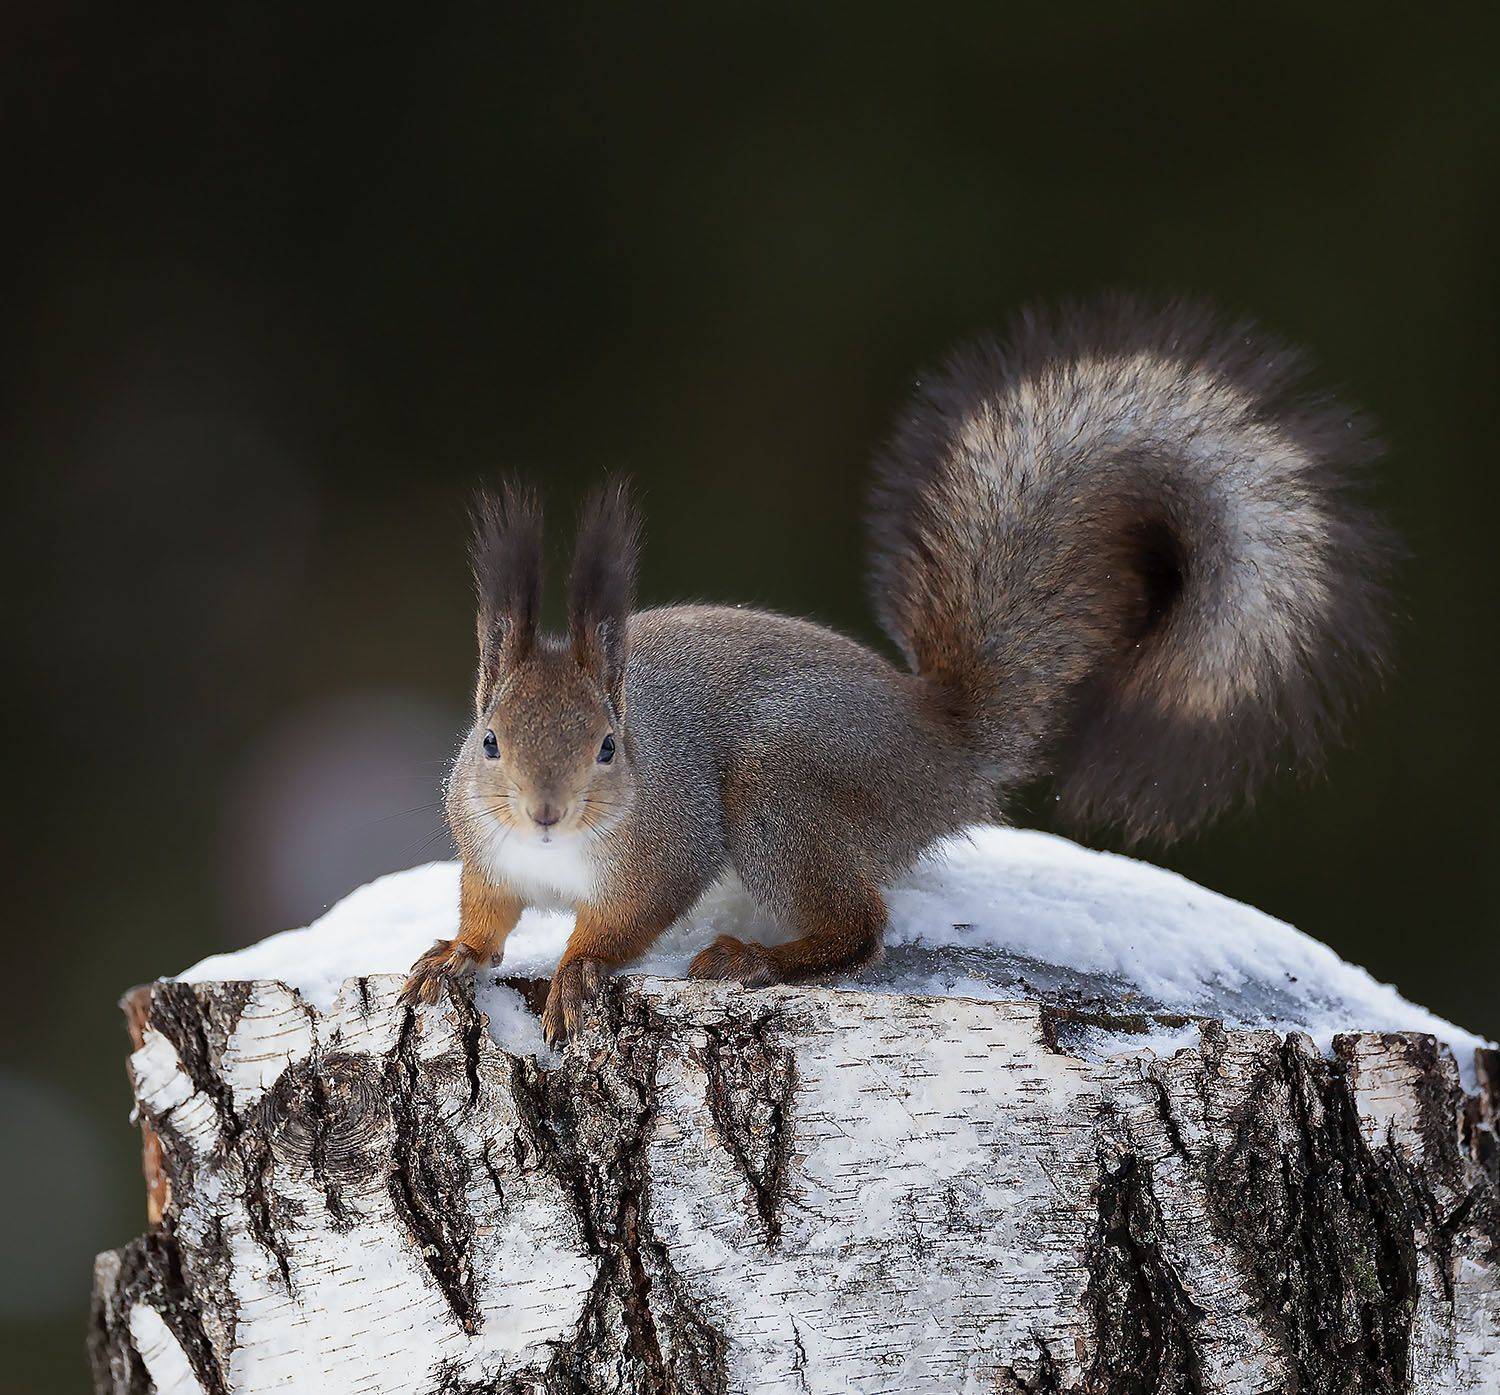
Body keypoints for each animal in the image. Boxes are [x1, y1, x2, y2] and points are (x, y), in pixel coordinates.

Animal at [401, 298, 1394, 1045]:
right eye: (488, 741)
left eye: (610, 747)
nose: (545, 810)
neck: (555, 854)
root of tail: (944, 745)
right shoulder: (486, 851)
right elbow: (487, 914)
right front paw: (455, 953)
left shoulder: (668, 844)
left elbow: (624, 922)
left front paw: (578, 969)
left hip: (783, 796)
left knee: (861, 927)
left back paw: (758, 957)